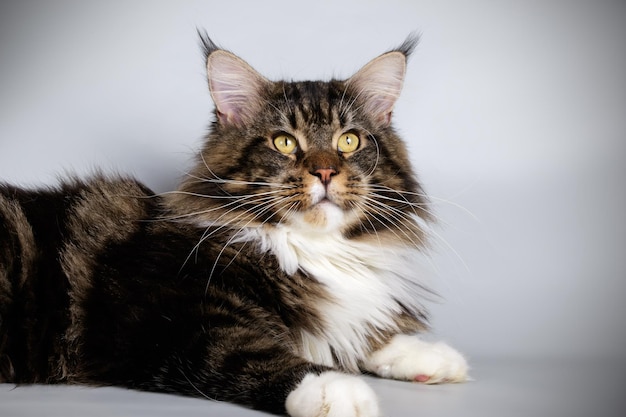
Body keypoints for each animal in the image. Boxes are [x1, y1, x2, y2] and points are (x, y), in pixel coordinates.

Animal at [0, 33, 464, 416]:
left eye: (349, 141)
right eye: (284, 142)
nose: (325, 172)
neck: (312, 248)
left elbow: (360, 333)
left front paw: (425, 356)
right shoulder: (167, 319)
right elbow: (251, 351)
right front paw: (332, 389)